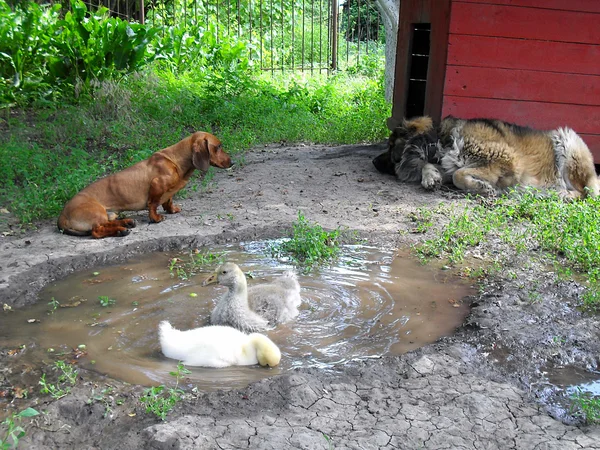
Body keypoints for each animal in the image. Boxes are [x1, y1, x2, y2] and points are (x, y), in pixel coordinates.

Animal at [58, 132, 232, 239]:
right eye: (218, 146)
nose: (233, 163)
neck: (175, 160)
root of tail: (62, 217)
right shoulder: (156, 185)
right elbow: (153, 204)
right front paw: (156, 218)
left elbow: (168, 200)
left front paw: (171, 209)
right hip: (97, 212)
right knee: (96, 231)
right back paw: (121, 231)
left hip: (109, 214)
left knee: (106, 224)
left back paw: (126, 223)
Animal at [372, 115, 596, 198]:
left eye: (390, 146)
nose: (373, 161)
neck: (441, 144)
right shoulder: (448, 165)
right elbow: (436, 168)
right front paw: (430, 178)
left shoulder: (506, 160)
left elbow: (459, 175)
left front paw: (484, 188)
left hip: (568, 141)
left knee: (584, 192)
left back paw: (562, 195)